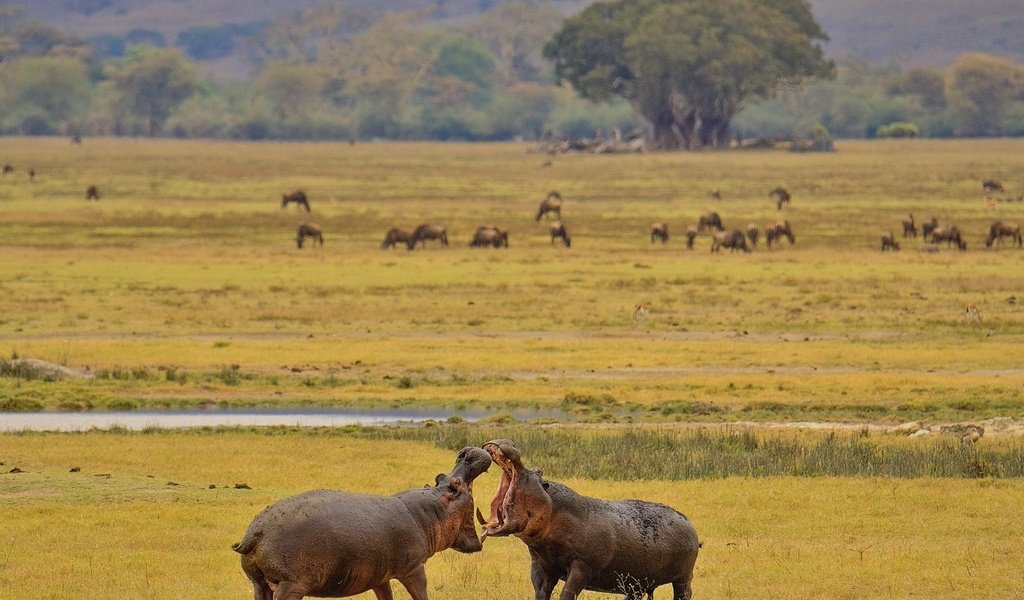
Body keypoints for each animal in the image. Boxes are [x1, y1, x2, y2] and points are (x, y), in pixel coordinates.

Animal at [234, 446, 489, 593]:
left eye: (440, 477)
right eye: (454, 484)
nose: (466, 453)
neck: (430, 513)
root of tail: (256, 533)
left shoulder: (379, 577)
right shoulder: (414, 569)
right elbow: (421, 593)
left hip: (259, 584)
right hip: (291, 585)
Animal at [475, 434, 700, 597]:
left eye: (538, 472)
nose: (510, 442)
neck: (554, 509)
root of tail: (689, 522)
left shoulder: (582, 567)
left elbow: (567, 594)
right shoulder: (541, 565)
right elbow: (541, 592)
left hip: (683, 578)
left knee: (684, 594)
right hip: (636, 583)